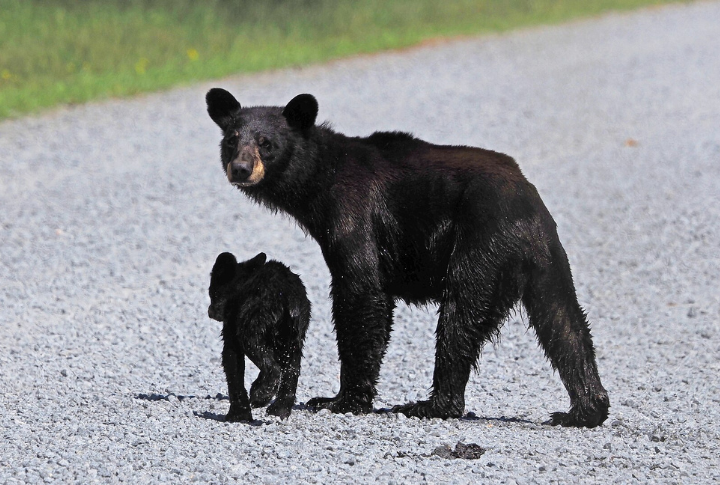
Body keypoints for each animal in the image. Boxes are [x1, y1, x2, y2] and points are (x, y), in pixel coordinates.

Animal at [208, 251, 311, 421]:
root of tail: (287, 296)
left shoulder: (232, 328)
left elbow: (233, 369)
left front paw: (238, 415)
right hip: (294, 336)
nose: (210, 311)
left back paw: (260, 395)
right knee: (292, 368)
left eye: (212, 292)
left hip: (253, 324)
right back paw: (279, 410)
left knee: (270, 364)